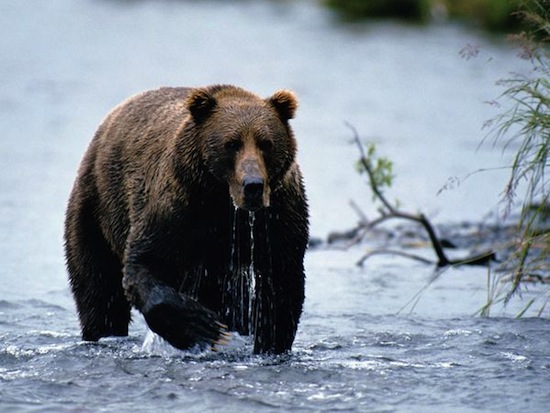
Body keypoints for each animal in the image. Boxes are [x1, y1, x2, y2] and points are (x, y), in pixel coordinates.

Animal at [64, 84, 310, 354]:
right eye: (231, 144)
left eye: (266, 143)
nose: (253, 185)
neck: (224, 204)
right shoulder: (179, 207)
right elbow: (144, 262)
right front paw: (203, 327)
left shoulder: (278, 217)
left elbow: (281, 285)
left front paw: (268, 344)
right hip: (96, 206)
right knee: (98, 288)